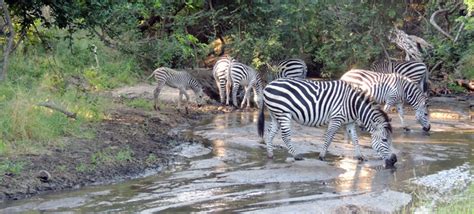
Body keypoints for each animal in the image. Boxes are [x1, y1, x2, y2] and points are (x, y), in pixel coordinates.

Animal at [256, 78, 396, 167]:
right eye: (384, 140)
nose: (394, 160)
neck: (354, 105)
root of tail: (268, 85)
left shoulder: (350, 122)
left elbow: (355, 139)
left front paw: (360, 157)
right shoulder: (336, 119)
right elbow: (329, 138)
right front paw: (322, 156)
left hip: (275, 114)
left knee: (270, 133)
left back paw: (270, 155)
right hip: (283, 113)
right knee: (285, 136)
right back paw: (296, 155)